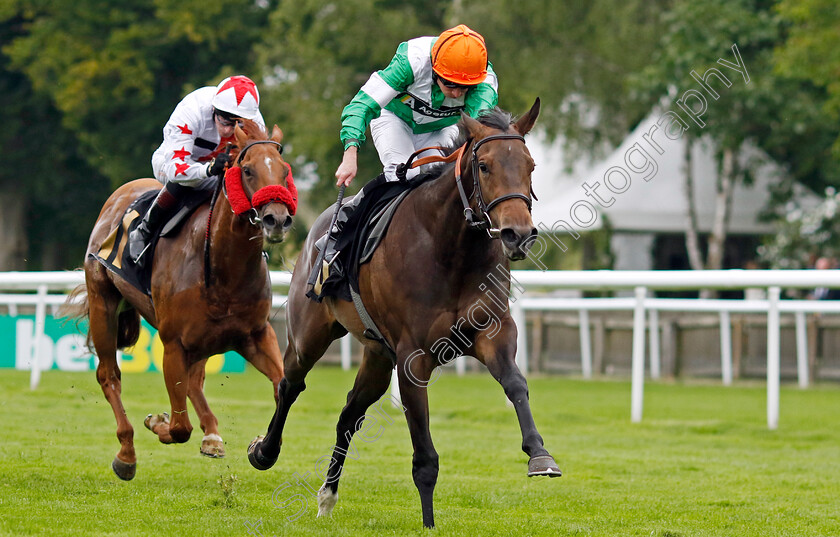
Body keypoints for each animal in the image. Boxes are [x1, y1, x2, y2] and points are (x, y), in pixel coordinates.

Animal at [63, 119, 292, 480]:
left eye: (284, 170)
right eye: (248, 170)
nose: (277, 219)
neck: (221, 267)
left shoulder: (255, 334)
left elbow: (281, 385)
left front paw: (262, 448)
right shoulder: (173, 344)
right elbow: (180, 426)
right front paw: (157, 422)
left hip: (203, 338)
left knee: (195, 381)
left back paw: (212, 435)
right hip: (103, 303)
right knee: (108, 375)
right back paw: (126, 453)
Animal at [249, 100, 564, 528]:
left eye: (530, 165)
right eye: (484, 166)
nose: (518, 234)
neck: (452, 249)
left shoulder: (493, 333)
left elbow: (516, 383)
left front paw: (539, 455)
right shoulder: (413, 356)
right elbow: (424, 454)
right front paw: (429, 524)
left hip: (378, 355)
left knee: (349, 415)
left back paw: (327, 496)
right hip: (309, 335)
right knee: (289, 384)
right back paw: (264, 452)